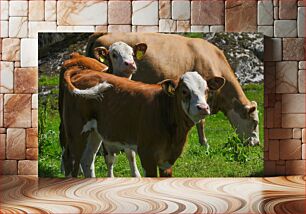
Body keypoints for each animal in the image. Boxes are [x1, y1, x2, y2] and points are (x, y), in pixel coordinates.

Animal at [62, 66, 225, 176]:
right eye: (184, 91)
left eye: (206, 90)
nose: (203, 108)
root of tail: (83, 71)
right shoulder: (147, 154)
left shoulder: (166, 161)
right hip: (76, 131)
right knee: (71, 161)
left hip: (94, 133)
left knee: (87, 160)